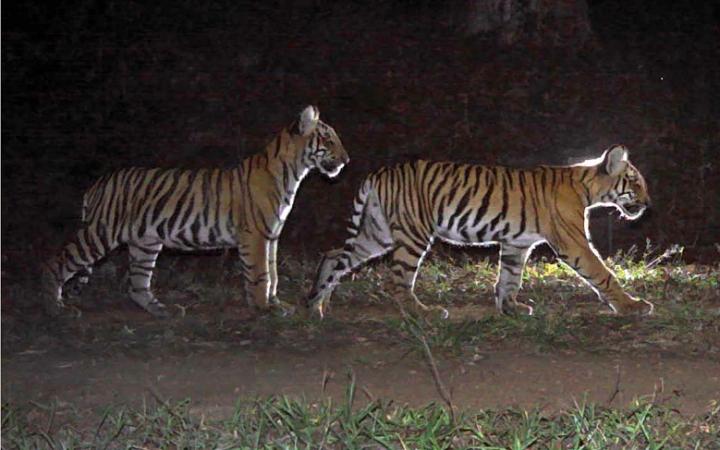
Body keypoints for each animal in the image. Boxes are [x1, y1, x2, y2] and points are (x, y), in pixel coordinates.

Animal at [43, 105, 349, 318]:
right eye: (328, 140)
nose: (346, 160)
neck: (293, 171)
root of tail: (97, 184)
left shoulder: (271, 235)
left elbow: (273, 273)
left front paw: (275, 302)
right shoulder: (256, 235)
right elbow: (261, 274)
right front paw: (264, 308)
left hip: (145, 242)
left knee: (137, 284)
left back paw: (163, 310)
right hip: (101, 233)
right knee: (58, 262)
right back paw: (55, 306)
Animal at [306, 144, 653, 319]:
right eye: (635, 182)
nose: (648, 204)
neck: (587, 186)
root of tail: (380, 172)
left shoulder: (516, 244)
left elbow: (510, 278)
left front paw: (511, 308)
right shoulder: (573, 242)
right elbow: (602, 273)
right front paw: (631, 306)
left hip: (378, 232)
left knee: (334, 254)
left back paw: (318, 304)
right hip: (413, 234)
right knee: (397, 281)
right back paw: (424, 313)